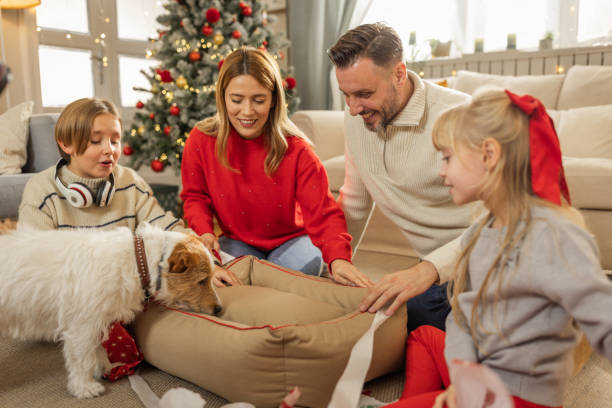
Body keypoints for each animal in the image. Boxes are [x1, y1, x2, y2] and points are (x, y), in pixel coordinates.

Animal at [0, 223, 220, 398]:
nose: (219, 309)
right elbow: (82, 359)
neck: (138, 262)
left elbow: (97, 350)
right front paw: (84, 387)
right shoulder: (82, 327)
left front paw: (106, 367)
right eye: (202, 281)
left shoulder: (97, 323)